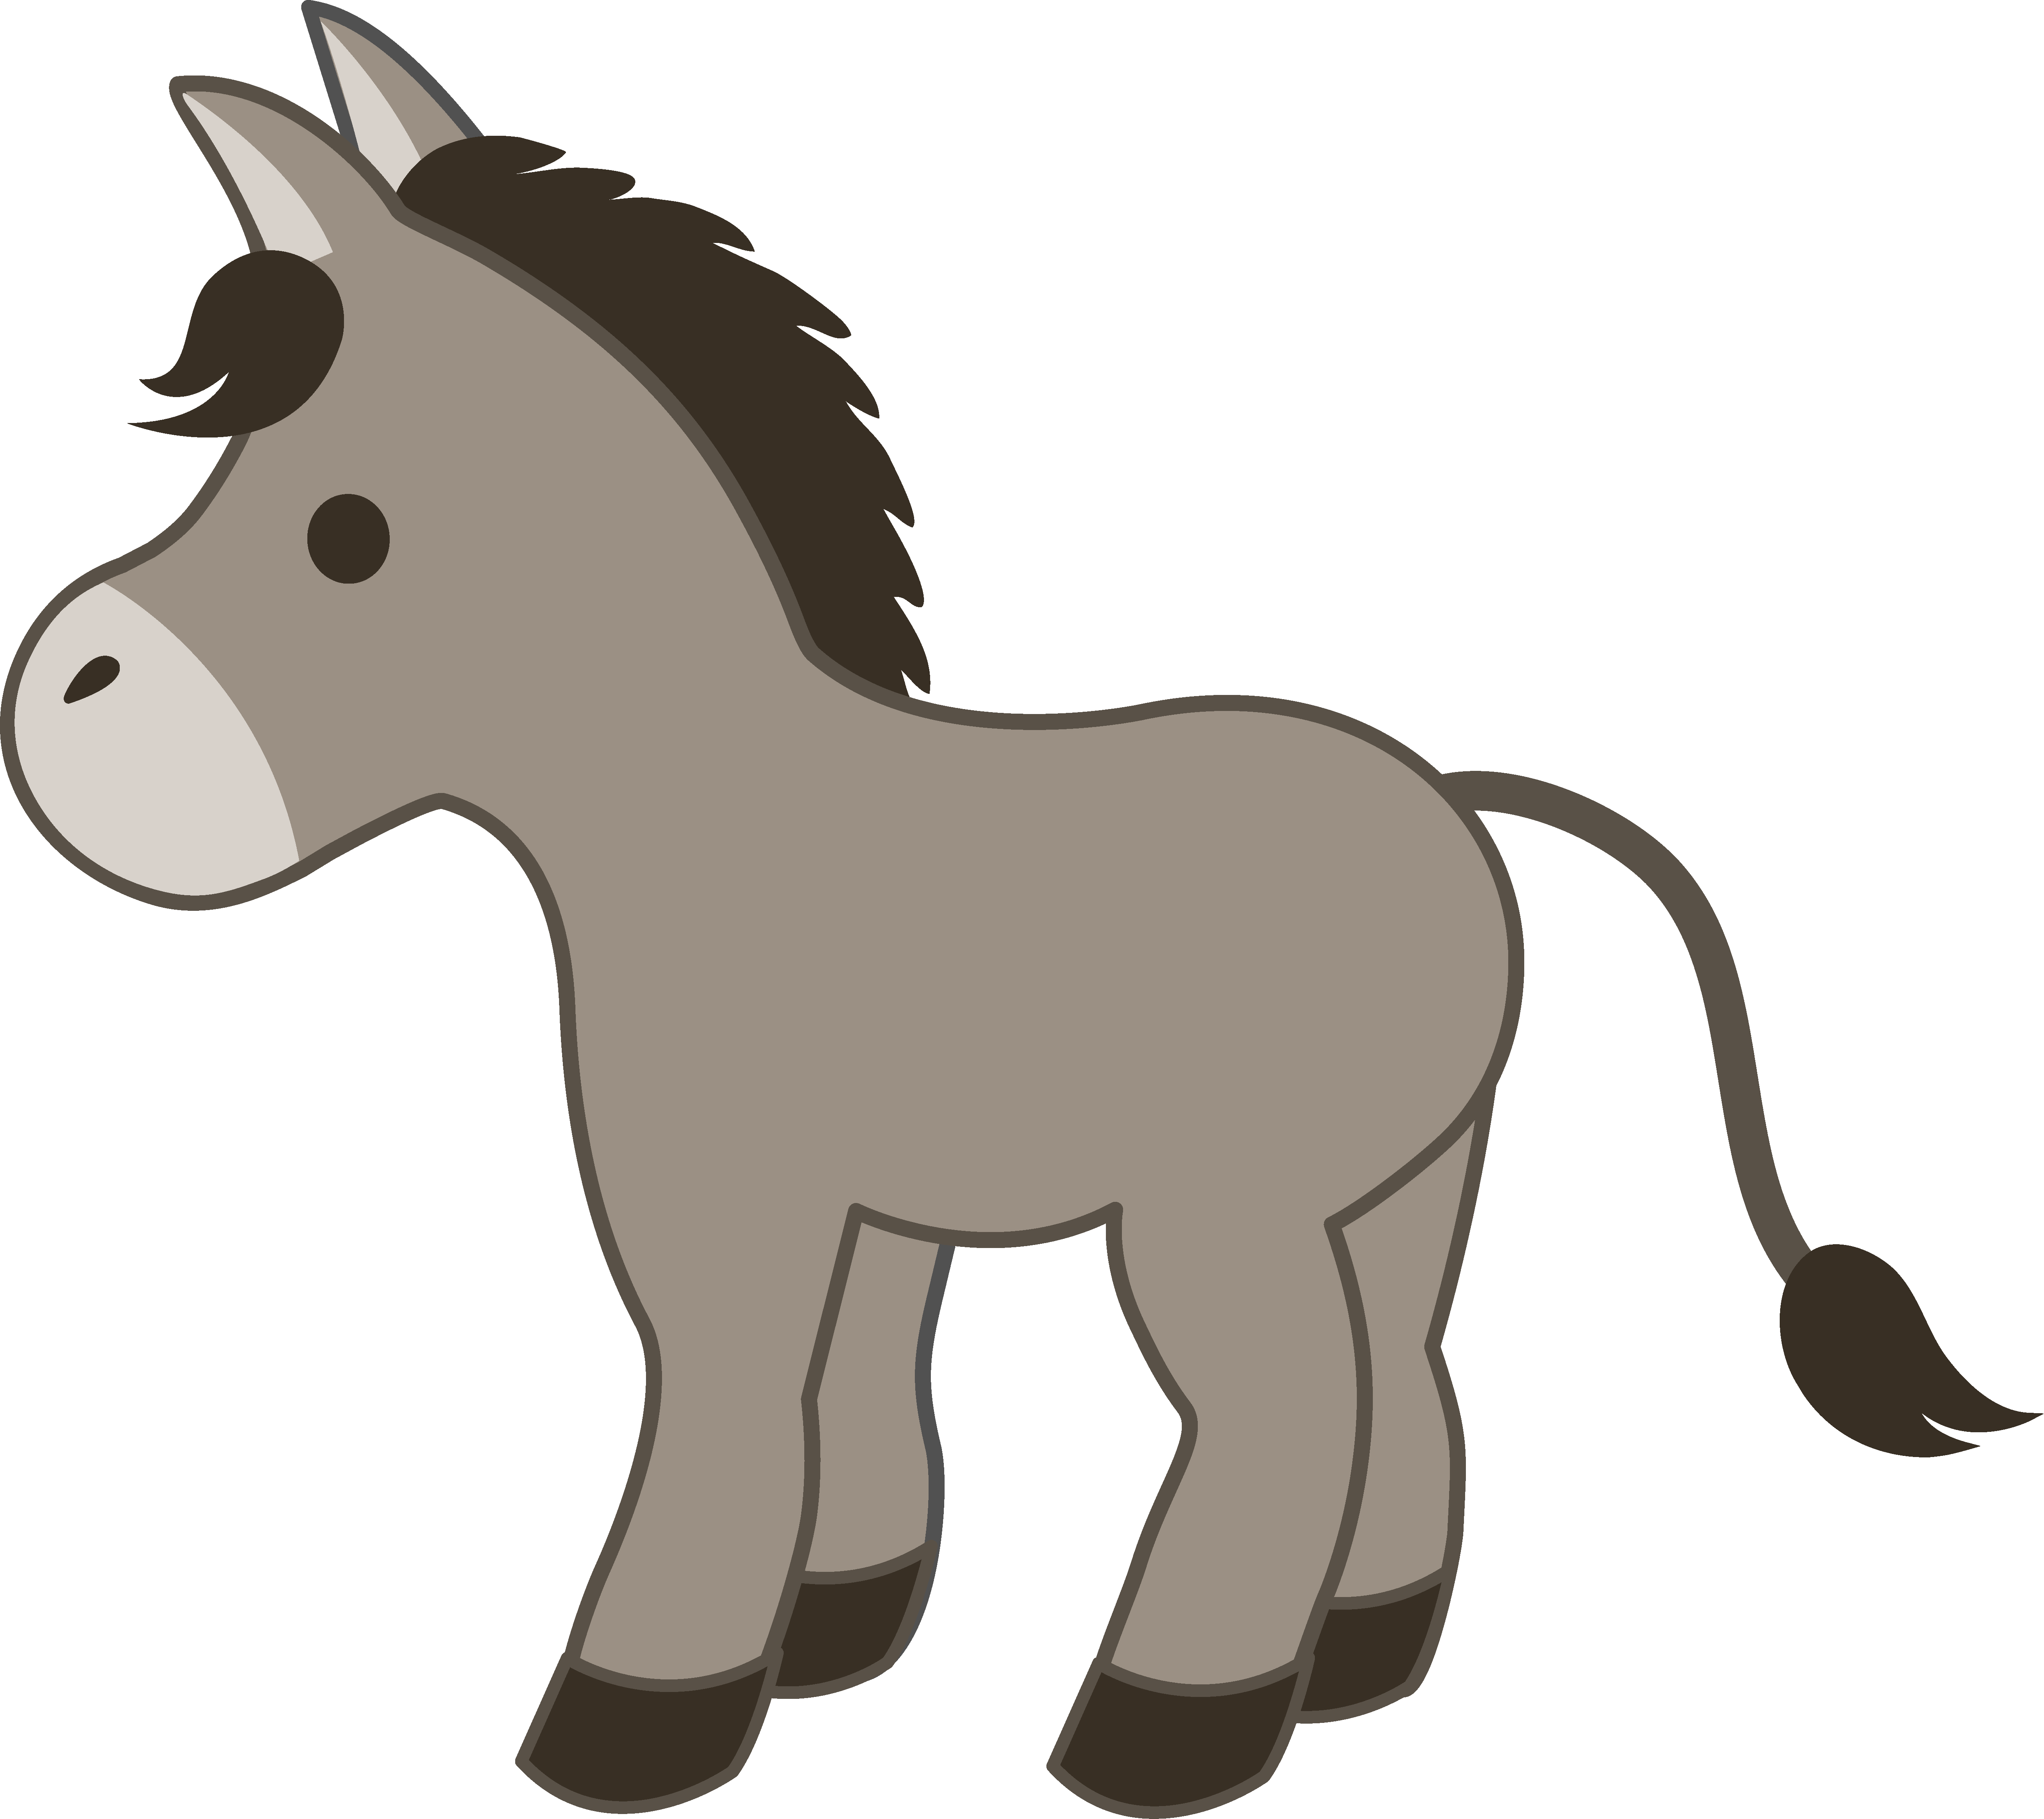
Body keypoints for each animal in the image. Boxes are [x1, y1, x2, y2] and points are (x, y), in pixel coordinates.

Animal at [4, 8, 2031, 1814]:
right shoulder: (877, 1206)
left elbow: (730, 1412)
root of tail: (1453, 800)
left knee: (1283, 1412)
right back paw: (1355, 1667)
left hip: (1225, 1210)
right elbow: (855, 1398)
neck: (697, 800)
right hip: (1403, 1181)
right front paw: (832, 1635)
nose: (61, 704)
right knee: (1408, 1378)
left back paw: (1162, 1734)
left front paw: (635, 1725)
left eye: (349, 533)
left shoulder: (721, 1203)